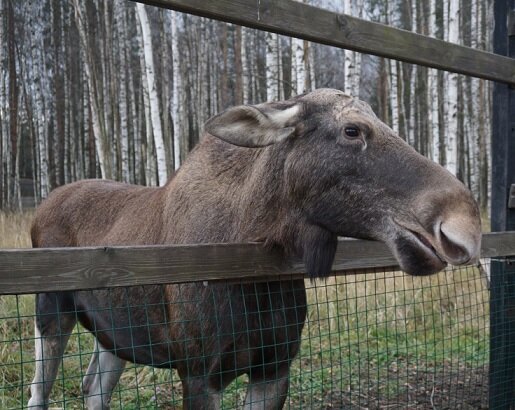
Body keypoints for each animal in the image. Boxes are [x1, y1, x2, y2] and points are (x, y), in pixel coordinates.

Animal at [27, 88, 480, 408]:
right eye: (352, 130)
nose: (466, 226)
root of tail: (42, 206)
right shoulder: (199, 373)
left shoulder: (274, 368)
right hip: (51, 311)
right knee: (39, 394)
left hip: (116, 335)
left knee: (92, 387)